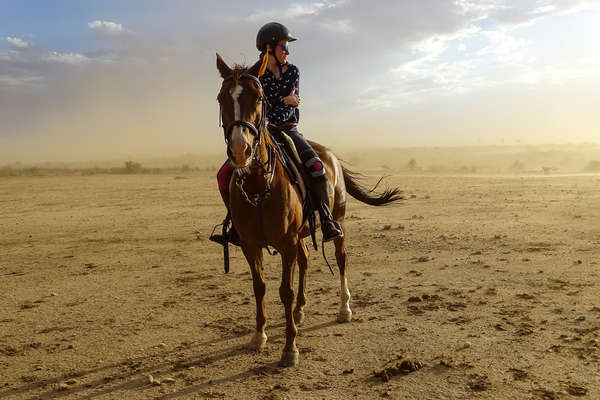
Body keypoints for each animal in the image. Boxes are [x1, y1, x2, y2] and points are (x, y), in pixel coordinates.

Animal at [216, 54, 404, 368]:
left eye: (258, 97)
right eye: (221, 98)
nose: (241, 151)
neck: (258, 185)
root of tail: (330, 155)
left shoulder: (287, 242)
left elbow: (285, 291)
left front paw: (290, 348)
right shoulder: (251, 245)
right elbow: (260, 286)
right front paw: (259, 335)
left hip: (337, 220)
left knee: (341, 259)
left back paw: (344, 309)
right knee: (305, 260)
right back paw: (301, 310)